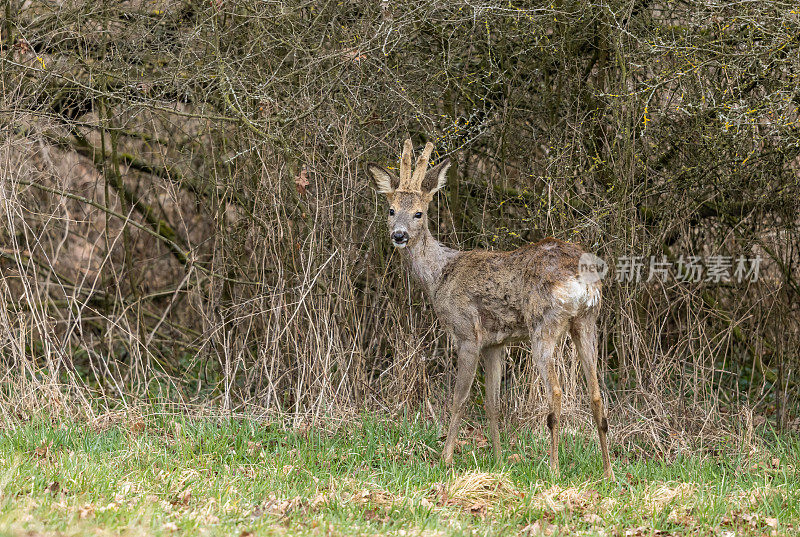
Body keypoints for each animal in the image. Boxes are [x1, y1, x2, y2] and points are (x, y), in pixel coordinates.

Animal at [366, 138, 616, 478]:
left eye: (419, 213)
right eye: (391, 210)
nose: (399, 235)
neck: (440, 276)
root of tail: (582, 276)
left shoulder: (467, 334)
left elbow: (460, 398)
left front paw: (446, 458)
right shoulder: (495, 343)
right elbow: (493, 403)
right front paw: (498, 460)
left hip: (545, 323)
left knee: (556, 391)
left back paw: (553, 469)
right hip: (587, 321)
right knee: (596, 393)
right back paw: (608, 473)